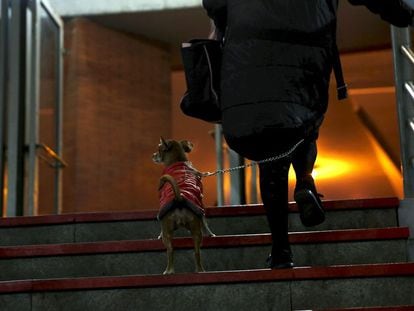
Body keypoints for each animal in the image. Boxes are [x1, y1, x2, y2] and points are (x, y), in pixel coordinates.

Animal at [154, 138, 215, 274]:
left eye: (158, 149)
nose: (152, 155)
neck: (177, 161)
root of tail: (179, 199)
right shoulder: (200, 203)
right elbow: (205, 220)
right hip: (196, 232)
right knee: (196, 252)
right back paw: (199, 270)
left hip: (171, 233)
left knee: (171, 251)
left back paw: (169, 271)